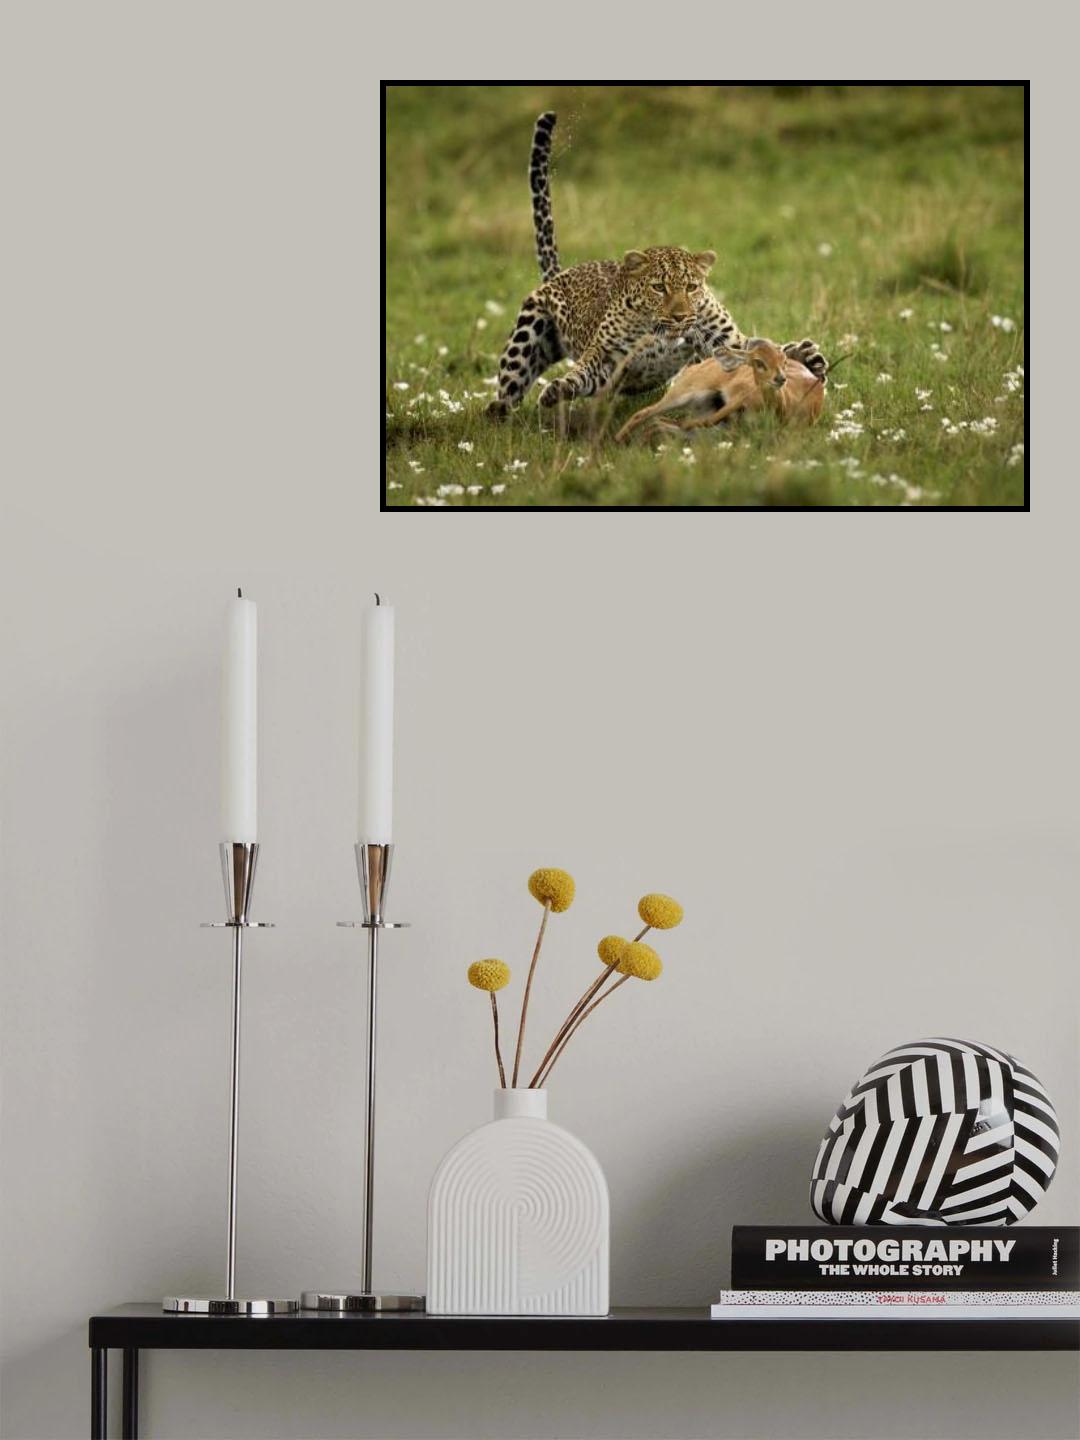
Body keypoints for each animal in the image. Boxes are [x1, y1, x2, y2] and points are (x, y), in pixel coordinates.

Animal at [486, 111, 827, 418]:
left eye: (691, 287)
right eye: (658, 288)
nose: (680, 317)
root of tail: (559, 275)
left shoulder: (724, 344)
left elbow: (754, 349)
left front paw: (805, 355)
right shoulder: (606, 359)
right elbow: (582, 373)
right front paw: (559, 388)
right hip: (527, 336)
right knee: (511, 384)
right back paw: (499, 412)